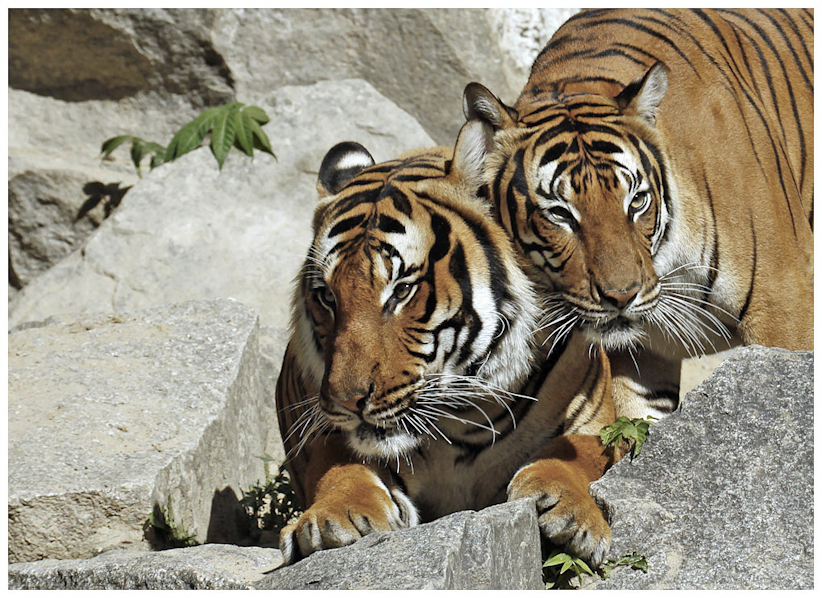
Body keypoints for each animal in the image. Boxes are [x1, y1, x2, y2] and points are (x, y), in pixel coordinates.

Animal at [274, 120, 622, 568]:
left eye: (402, 290)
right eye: (327, 297)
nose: (348, 402)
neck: (457, 422)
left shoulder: (597, 420)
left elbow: (579, 453)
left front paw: (570, 513)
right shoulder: (315, 420)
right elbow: (336, 464)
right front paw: (335, 517)